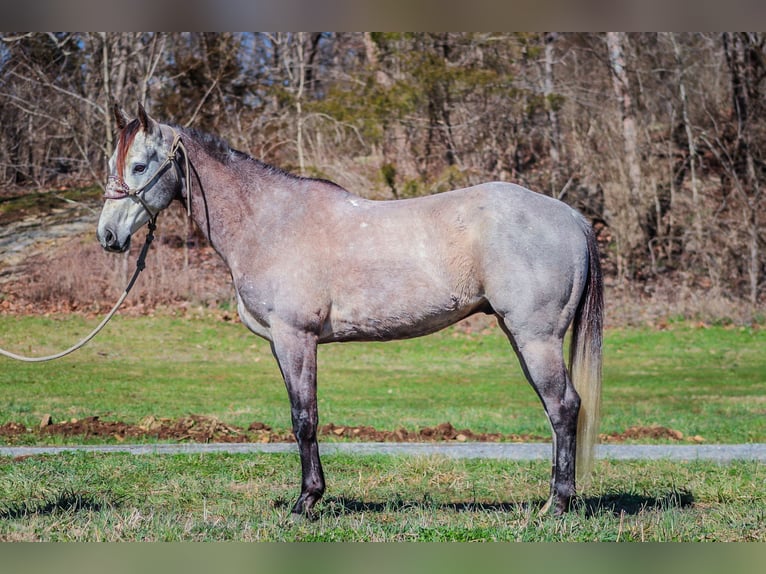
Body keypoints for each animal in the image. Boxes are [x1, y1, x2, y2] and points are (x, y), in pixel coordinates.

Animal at [96, 107, 604, 516]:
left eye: (139, 165)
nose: (107, 237)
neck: (269, 222)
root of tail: (571, 216)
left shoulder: (295, 337)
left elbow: (304, 417)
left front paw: (306, 501)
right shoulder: (285, 343)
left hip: (536, 337)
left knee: (563, 407)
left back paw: (557, 505)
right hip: (520, 335)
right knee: (555, 410)